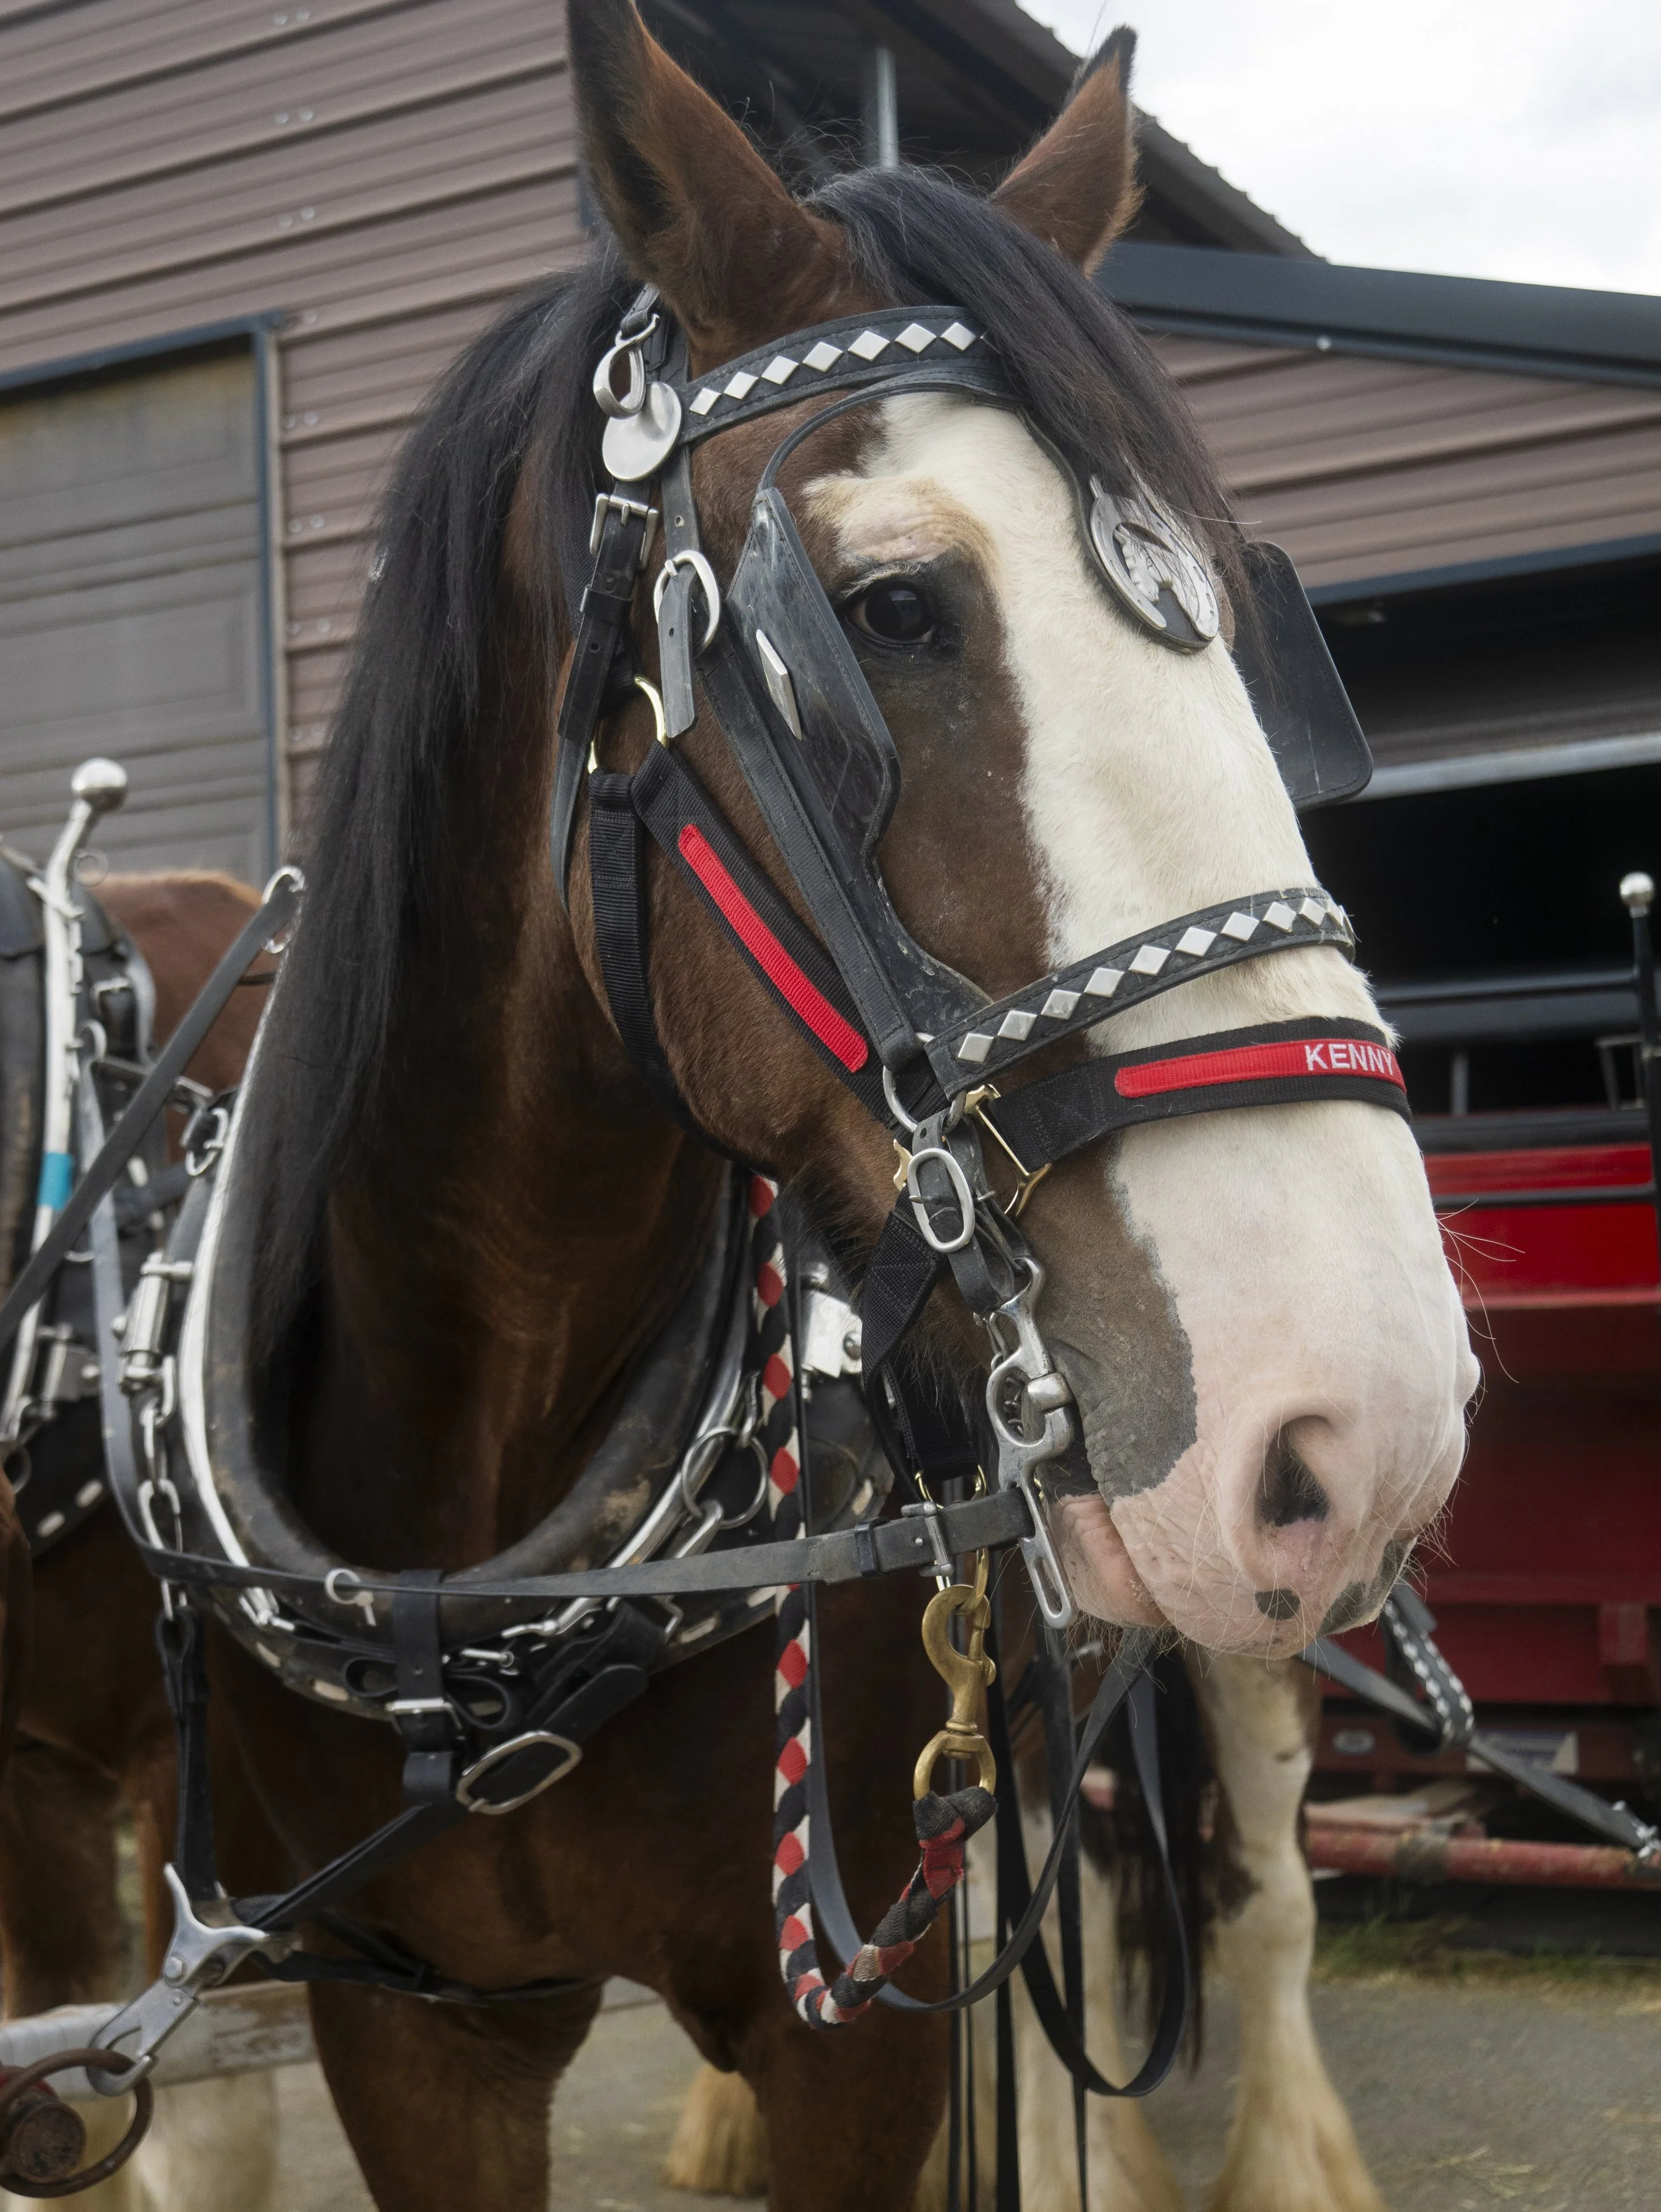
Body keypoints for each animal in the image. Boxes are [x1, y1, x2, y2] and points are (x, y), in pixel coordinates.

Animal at [151, 5, 1477, 2207]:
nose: (1354, 1418)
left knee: (1266, 1884)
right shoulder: (415, 2026)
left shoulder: (857, 2037)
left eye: (1235, 619)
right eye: (887, 610)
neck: (503, 1529)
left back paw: (1277, 2142)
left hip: (1253, 1628)